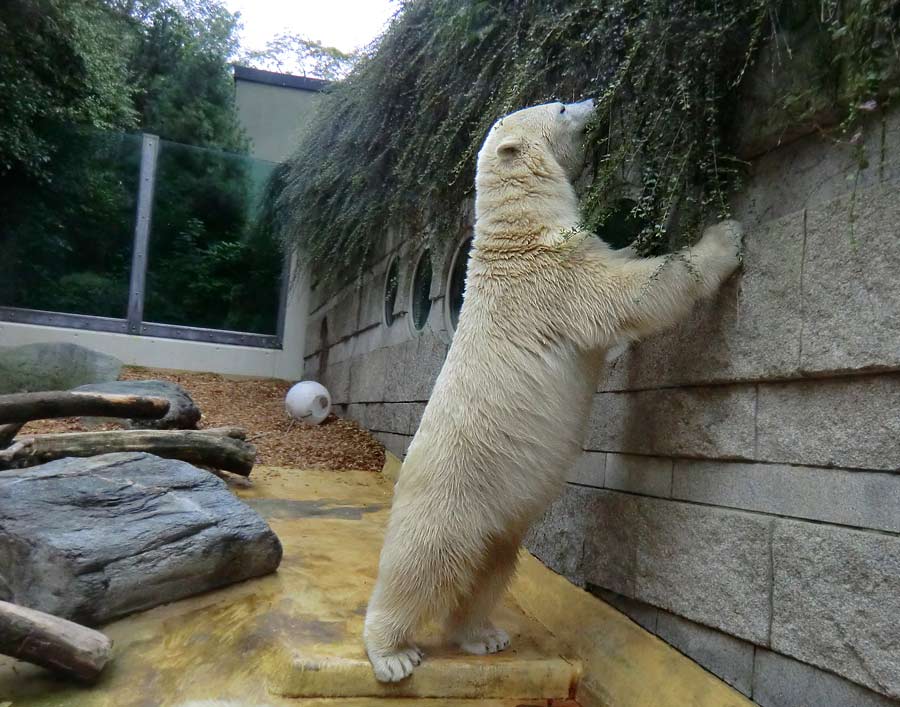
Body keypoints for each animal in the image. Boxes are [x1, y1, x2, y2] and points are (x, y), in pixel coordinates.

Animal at [362, 97, 740, 684]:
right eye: (562, 105)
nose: (596, 100)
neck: (516, 235)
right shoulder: (556, 280)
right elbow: (630, 294)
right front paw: (724, 238)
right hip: (451, 492)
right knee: (421, 564)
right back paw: (392, 652)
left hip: (496, 512)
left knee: (490, 568)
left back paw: (483, 635)